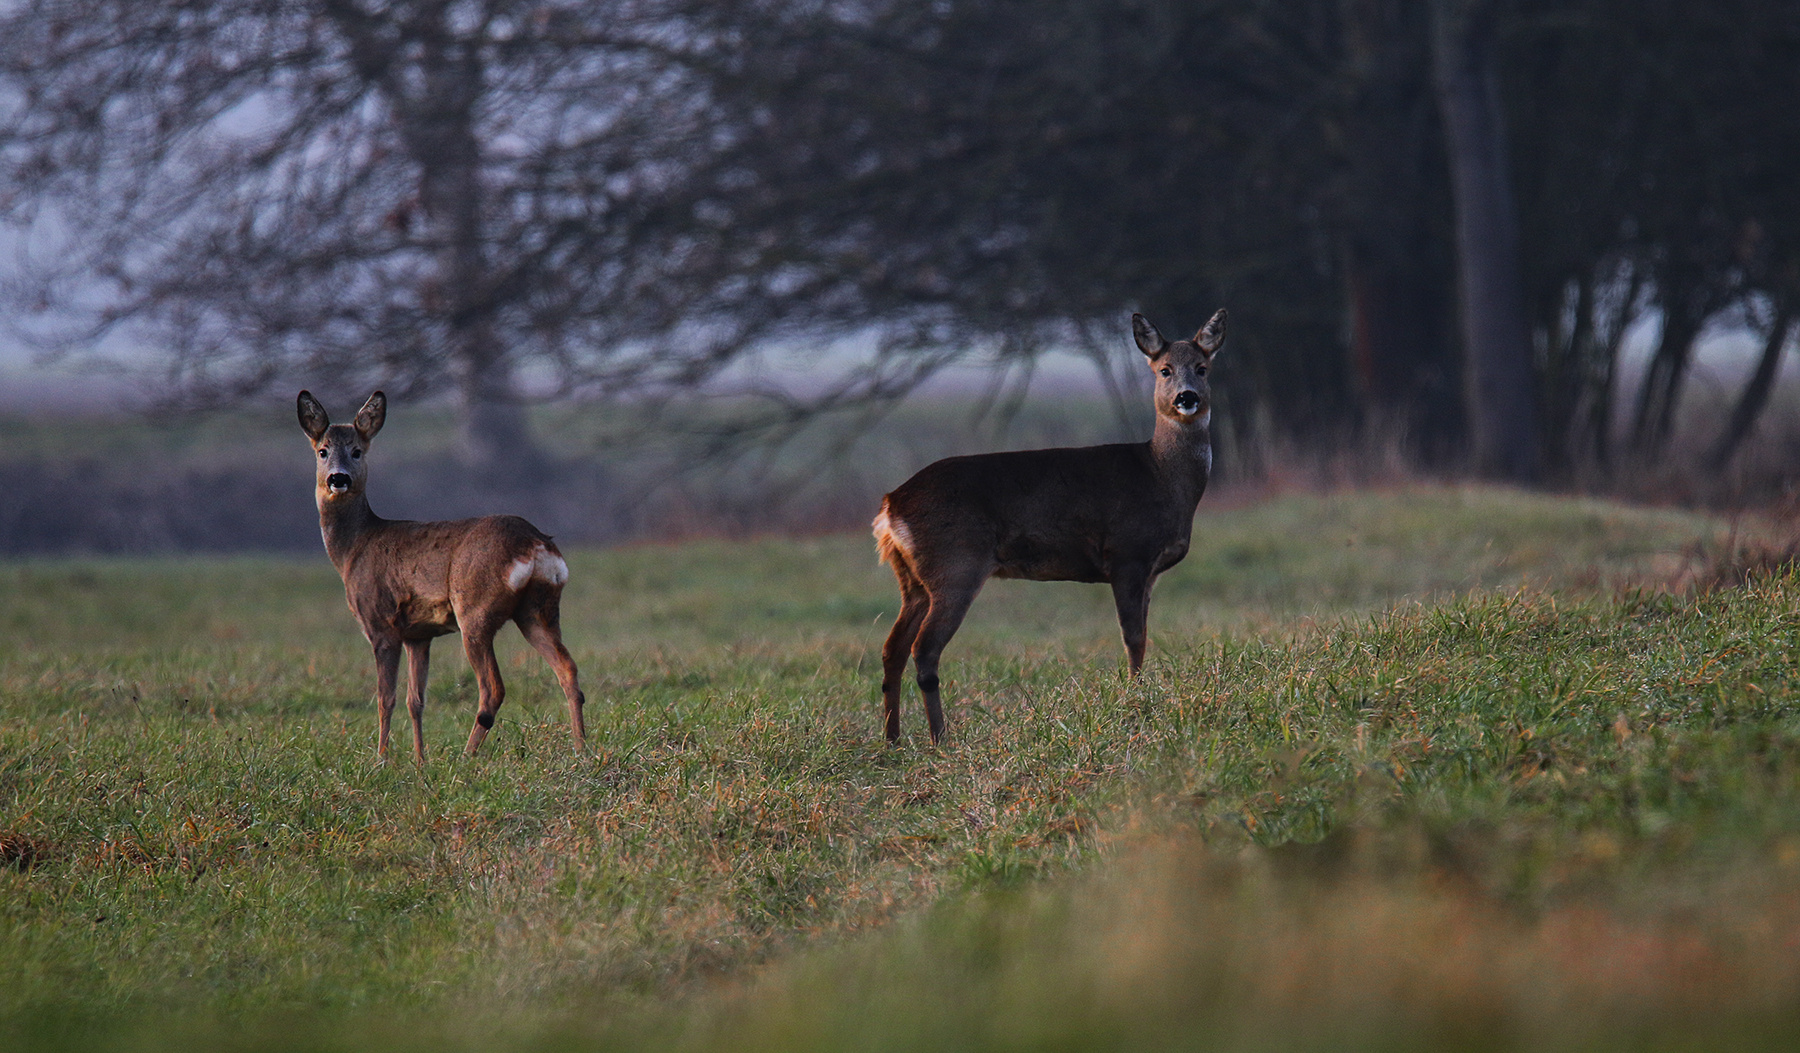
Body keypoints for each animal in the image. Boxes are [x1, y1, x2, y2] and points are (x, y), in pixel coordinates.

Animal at [298, 390, 586, 759]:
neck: (354, 549)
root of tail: (536, 544)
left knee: (493, 688)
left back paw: (467, 756)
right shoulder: (419, 635)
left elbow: (386, 699)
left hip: (475, 611)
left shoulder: (380, 625)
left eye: (357, 450)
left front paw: (382, 759)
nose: (338, 478)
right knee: (567, 669)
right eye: (323, 450)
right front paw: (420, 759)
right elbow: (415, 700)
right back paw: (581, 750)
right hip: (539, 610)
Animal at [871, 307, 1224, 741]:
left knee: (893, 648)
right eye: (1164, 370)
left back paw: (893, 739)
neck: (1161, 474)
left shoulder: (1149, 571)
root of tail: (890, 505)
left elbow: (1142, 635)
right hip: (955, 566)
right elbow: (1133, 637)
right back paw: (940, 739)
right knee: (924, 649)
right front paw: (1135, 699)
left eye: (1202, 368)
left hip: (913, 580)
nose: (1186, 397)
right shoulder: (1127, 554)